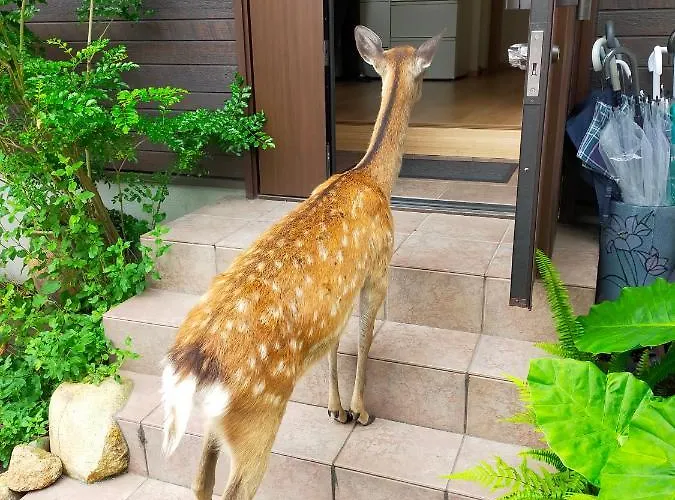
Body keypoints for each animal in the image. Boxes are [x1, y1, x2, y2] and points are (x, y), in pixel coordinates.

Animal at [161, 25, 441, 500]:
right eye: (423, 75)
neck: (371, 177)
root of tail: (191, 366)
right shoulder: (378, 270)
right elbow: (363, 341)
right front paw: (360, 411)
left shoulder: (338, 299)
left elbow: (335, 345)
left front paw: (336, 410)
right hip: (257, 416)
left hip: (212, 422)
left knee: (199, 480)